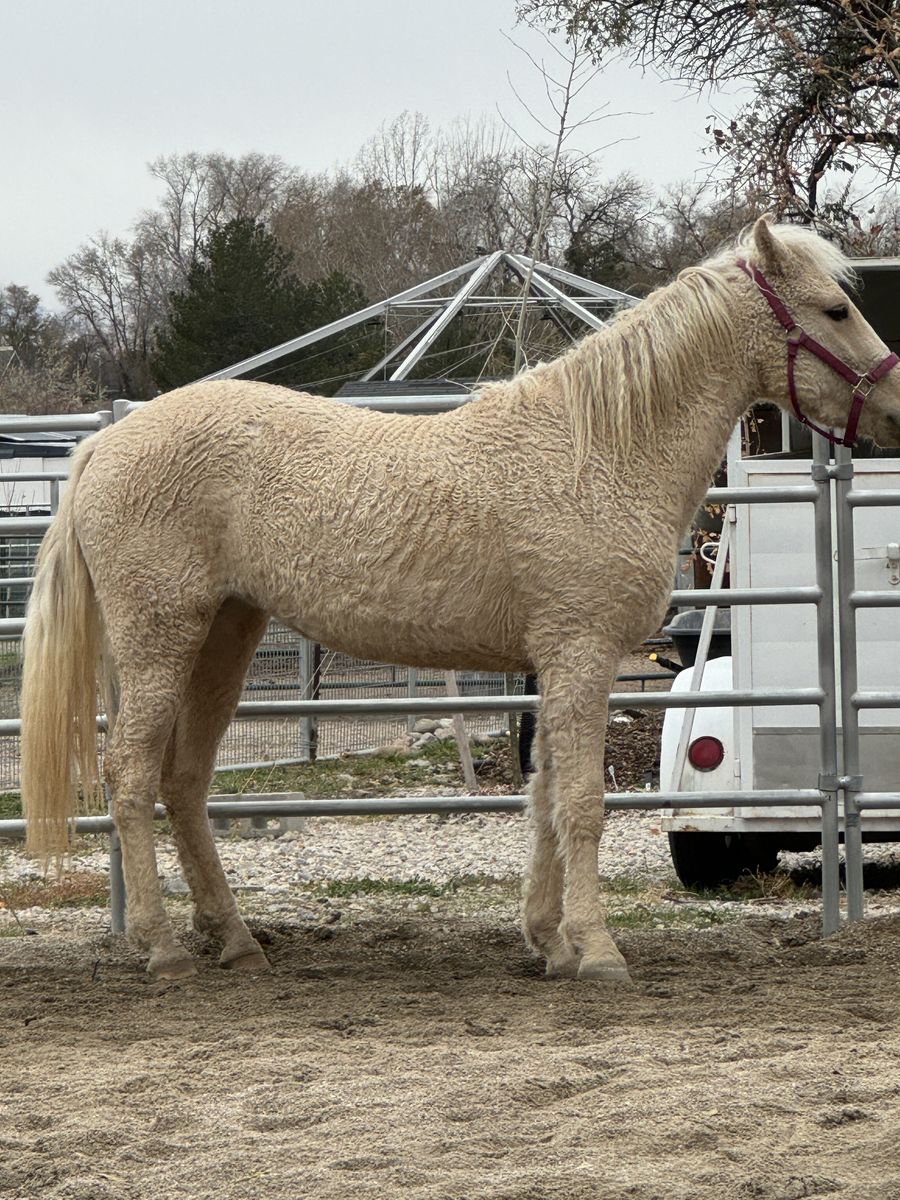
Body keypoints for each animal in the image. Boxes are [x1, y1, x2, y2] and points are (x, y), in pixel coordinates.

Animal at [20, 218, 900, 982]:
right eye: (835, 308)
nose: (895, 409)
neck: (598, 449)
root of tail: (105, 444)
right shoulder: (582, 654)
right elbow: (582, 802)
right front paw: (598, 949)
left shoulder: (552, 665)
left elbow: (543, 796)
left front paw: (549, 941)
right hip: (161, 636)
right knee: (132, 774)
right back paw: (164, 947)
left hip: (224, 637)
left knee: (185, 782)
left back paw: (234, 940)